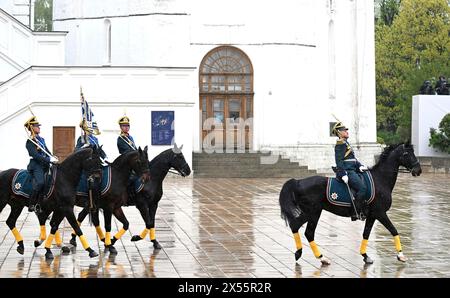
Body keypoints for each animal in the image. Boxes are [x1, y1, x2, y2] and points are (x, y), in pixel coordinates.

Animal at [280, 143, 424, 264]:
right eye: (406, 154)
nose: (418, 170)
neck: (381, 179)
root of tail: (298, 182)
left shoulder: (372, 215)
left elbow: (366, 234)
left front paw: (365, 256)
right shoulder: (380, 213)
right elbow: (394, 230)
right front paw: (401, 255)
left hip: (311, 212)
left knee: (300, 229)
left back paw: (308, 255)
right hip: (313, 212)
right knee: (304, 230)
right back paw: (317, 257)